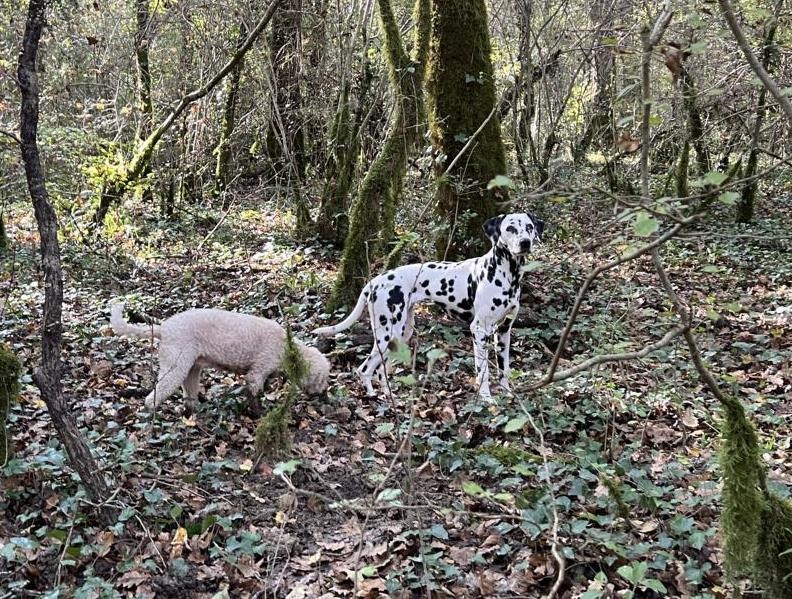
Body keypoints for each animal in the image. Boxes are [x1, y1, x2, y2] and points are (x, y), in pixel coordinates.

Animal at [109, 302, 328, 410]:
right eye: (322, 379)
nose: (324, 396)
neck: (288, 347)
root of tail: (164, 327)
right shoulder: (257, 373)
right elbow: (255, 397)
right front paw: (258, 416)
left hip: (192, 369)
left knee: (188, 395)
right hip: (175, 366)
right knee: (154, 396)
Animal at [316, 213, 544, 400]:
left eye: (529, 227)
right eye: (510, 228)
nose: (525, 242)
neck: (506, 274)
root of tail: (376, 281)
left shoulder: (504, 331)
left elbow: (504, 368)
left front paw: (508, 394)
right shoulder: (479, 330)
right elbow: (483, 371)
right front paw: (487, 399)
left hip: (401, 333)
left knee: (381, 370)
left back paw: (390, 396)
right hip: (386, 333)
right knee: (364, 368)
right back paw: (375, 397)